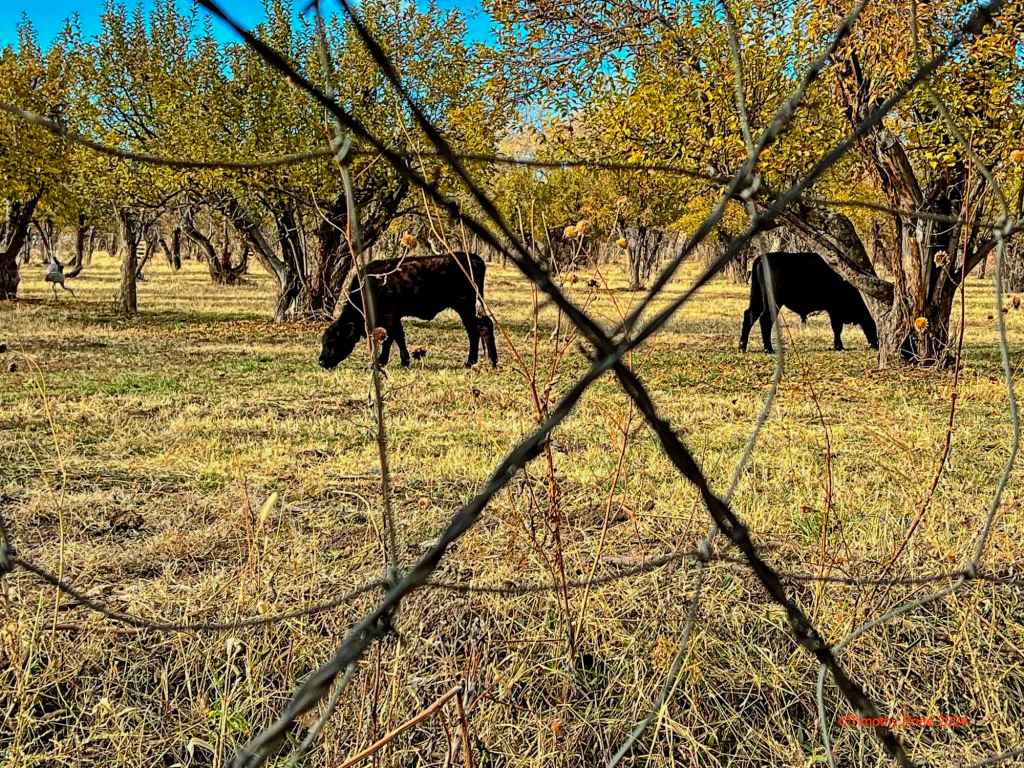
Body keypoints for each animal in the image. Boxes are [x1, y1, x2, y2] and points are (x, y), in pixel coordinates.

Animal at [319, 252, 497, 370]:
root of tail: (474, 258)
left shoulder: (390, 317)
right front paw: (404, 361)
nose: (321, 361)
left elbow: (390, 339)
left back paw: (486, 361)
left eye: (332, 341)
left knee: (482, 327)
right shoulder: (395, 318)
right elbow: (399, 337)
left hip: (467, 307)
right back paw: (477, 361)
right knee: (476, 330)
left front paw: (380, 362)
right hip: (468, 309)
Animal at [739, 251, 878, 353]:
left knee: (749, 315)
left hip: (758, 299)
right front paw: (839, 346)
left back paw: (742, 347)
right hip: (773, 302)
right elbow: (837, 328)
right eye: (874, 325)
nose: (876, 344)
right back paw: (768, 349)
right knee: (765, 320)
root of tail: (761, 258)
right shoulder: (834, 310)